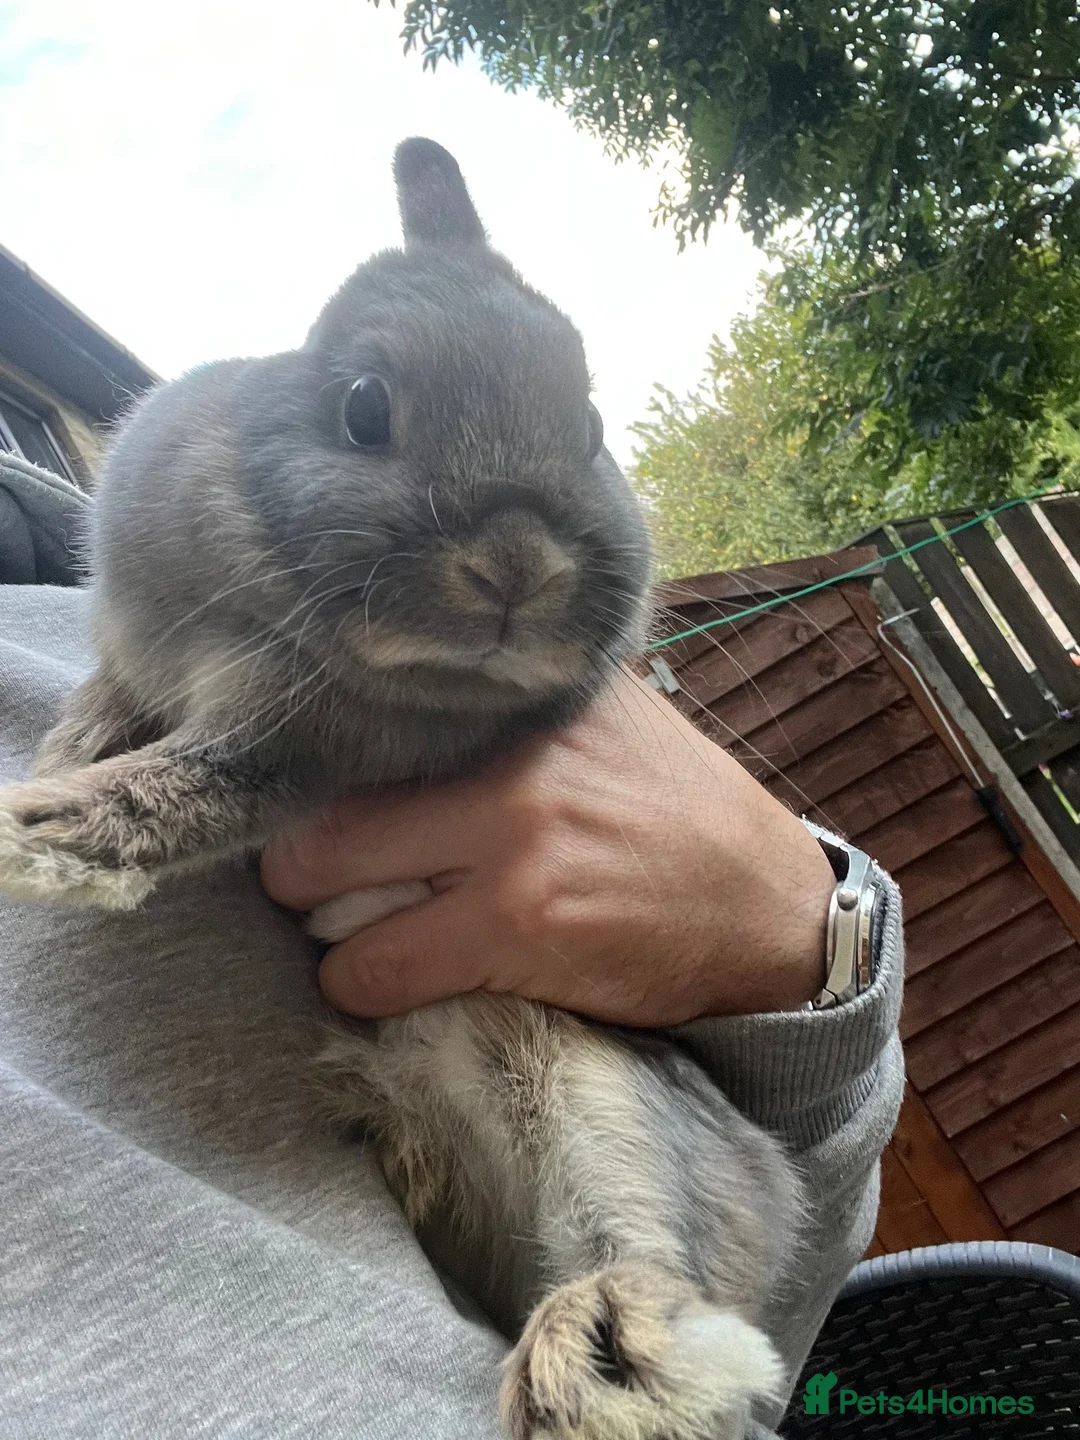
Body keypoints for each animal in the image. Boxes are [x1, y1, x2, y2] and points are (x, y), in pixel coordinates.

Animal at [0, 139, 802, 1440]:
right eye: (366, 407)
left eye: (588, 424)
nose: (519, 566)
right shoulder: (139, 670)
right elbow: (104, 731)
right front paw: (49, 777)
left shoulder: (293, 749)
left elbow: (171, 793)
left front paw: (25, 831)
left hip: (595, 1091)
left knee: (649, 1251)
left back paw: (593, 1355)